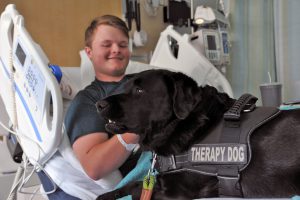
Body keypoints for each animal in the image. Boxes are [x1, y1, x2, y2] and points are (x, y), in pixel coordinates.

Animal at [97, 69, 300, 200]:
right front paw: (107, 194)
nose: (99, 104)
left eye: (139, 90)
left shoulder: (177, 194)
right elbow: (133, 184)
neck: (185, 125)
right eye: (125, 89)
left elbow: (138, 190)